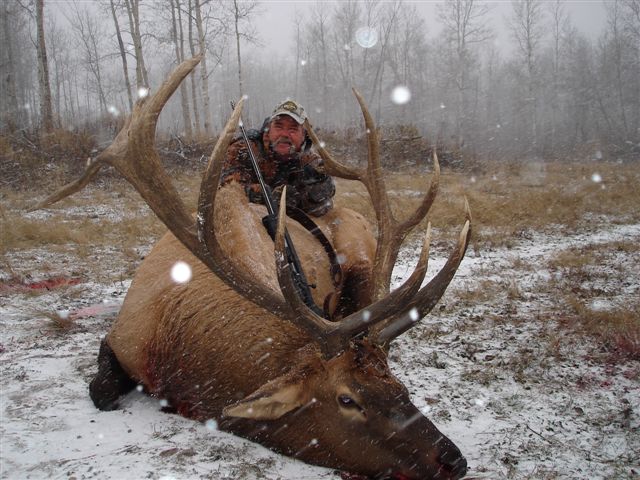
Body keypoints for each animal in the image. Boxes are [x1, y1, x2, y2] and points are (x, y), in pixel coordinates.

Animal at [32, 56, 471, 480]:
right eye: (348, 398)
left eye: (394, 378)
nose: (454, 460)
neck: (171, 351)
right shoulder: (120, 335)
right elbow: (102, 391)